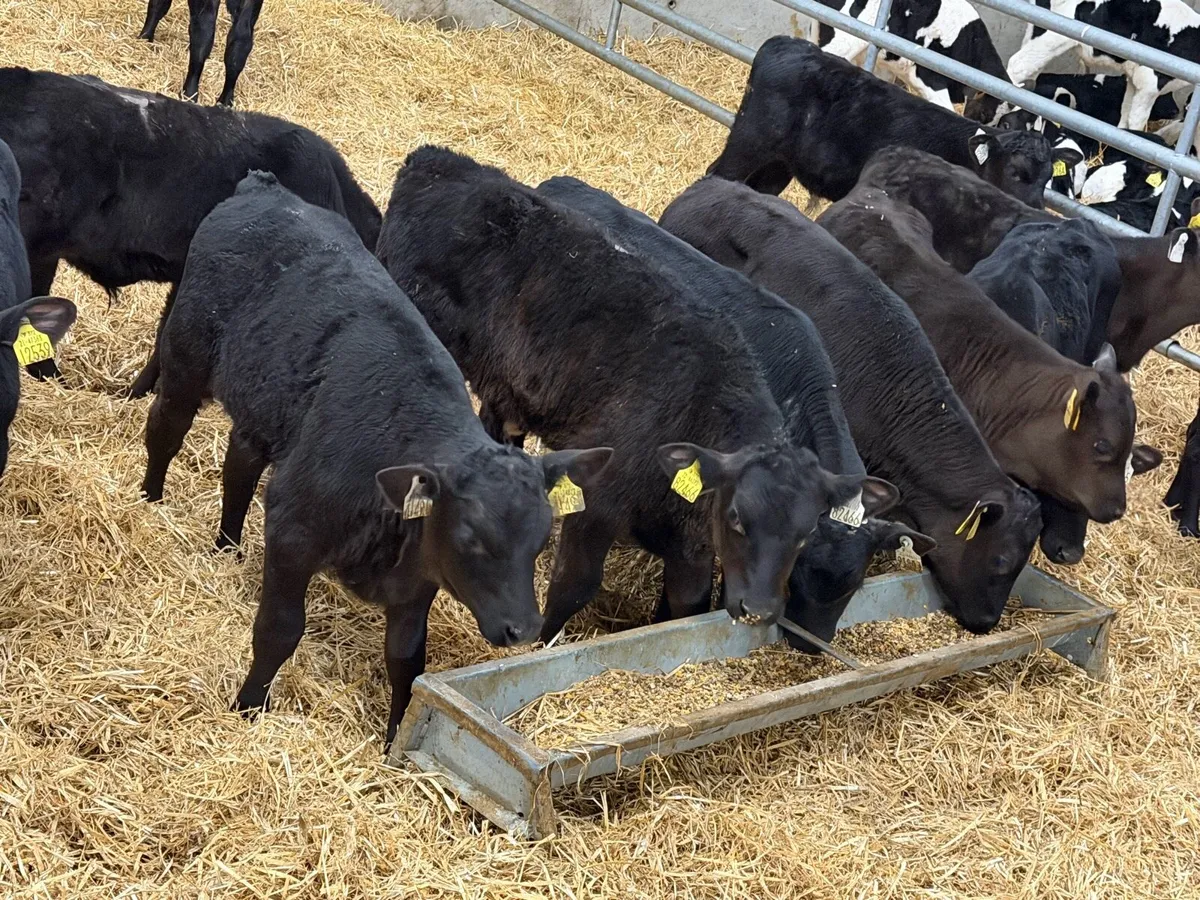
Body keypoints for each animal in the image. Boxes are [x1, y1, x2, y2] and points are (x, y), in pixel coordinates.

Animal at [138, 172, 611, 743]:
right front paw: (249, 707)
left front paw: (393, 743)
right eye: (471, 536)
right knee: (166, 427)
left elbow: (406, 662)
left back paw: (227, 546)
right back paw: (148, 500)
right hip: (185, 355)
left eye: (541, 541)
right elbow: (279, 630)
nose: (524, 629)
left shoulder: (417, 583)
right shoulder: (294, 533)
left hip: (261, 411)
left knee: (240, 468)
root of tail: (266, 189)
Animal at [377, 147, 868, 638]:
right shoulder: (597, 501)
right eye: (737, 519)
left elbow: (686, 601)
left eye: (803, 537)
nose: (760, 610)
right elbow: (573, 585)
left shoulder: (691, 542)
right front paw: (543, 640)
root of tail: (439, 159)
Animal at [707, 36, 1077, 208]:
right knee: (718, 174)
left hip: (779, 163)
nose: (1035, 210)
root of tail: (787, 43)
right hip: (749, 142)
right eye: (1015, 172)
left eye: (1047, 176)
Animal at [1007, 0, 1200, 138]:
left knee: (1030, 73)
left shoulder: (1134, 80)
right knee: (1017, 66)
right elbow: (1136, 123)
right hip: (1056, 34)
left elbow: (1124, 117)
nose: (1176, 111)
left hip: (1037, 29)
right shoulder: (1150, 85)